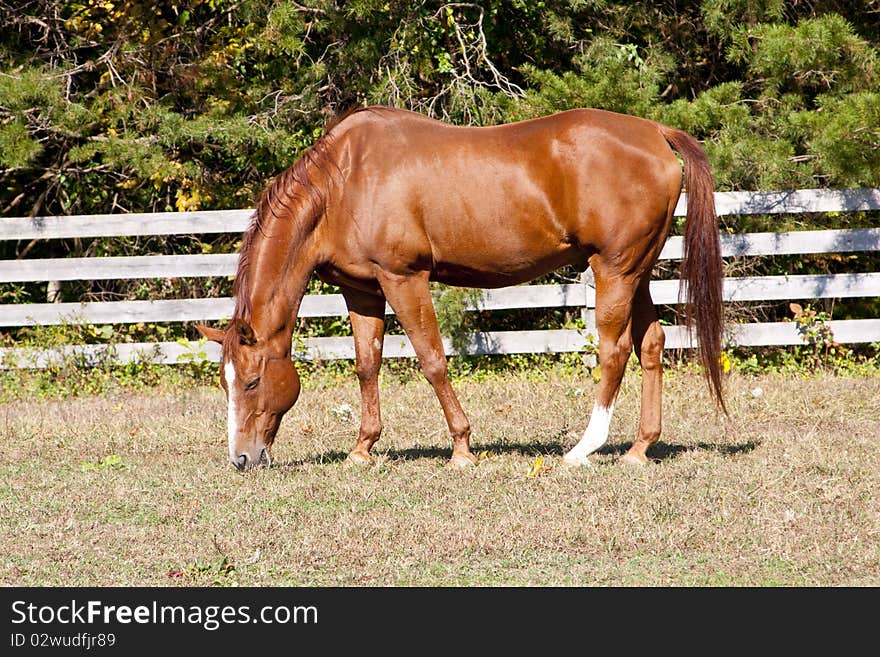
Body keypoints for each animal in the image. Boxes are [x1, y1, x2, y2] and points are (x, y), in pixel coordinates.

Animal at [196, 105, 724, 468]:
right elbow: (367, 366)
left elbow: (432, 360)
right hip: (638, 272)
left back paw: (582, 450)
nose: (241, 458)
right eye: (226, 382)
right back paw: (639, 448)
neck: (344, 181)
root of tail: (655, 133)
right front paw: (363, 448)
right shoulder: (362, 290)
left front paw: (462, 449)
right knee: (651, 345)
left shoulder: (403, 278)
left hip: (614, 271)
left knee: (614, 352)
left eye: (252, 381)